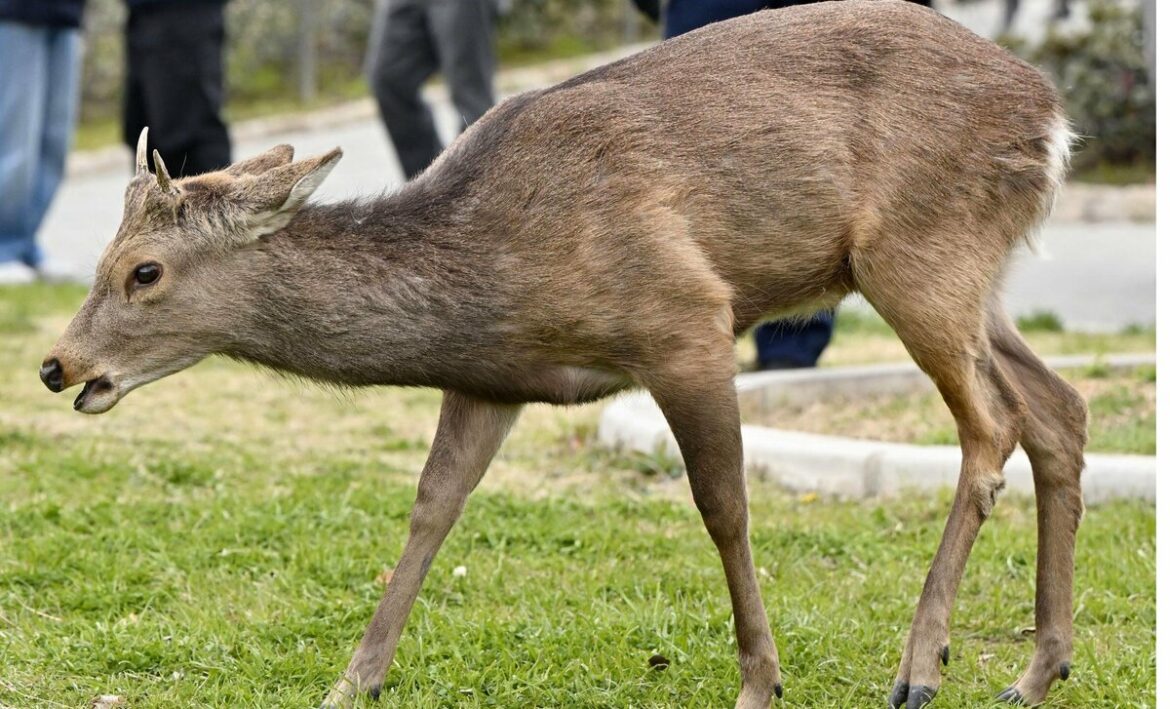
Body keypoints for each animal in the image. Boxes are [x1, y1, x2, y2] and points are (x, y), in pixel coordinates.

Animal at [39, 2, 1086, 707]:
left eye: (143, 271)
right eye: (105, 260)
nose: (57, 365)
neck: (494, 274)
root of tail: (1053, 117)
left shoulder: (686, 320)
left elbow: (723, 504)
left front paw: (760, 679)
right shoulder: (490, 378)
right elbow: (431, 509)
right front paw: (353, 679)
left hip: (915, 248)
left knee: (992, 425)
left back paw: (922, 665)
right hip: (970, 271)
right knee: (1059, 409)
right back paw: (1038, 667)